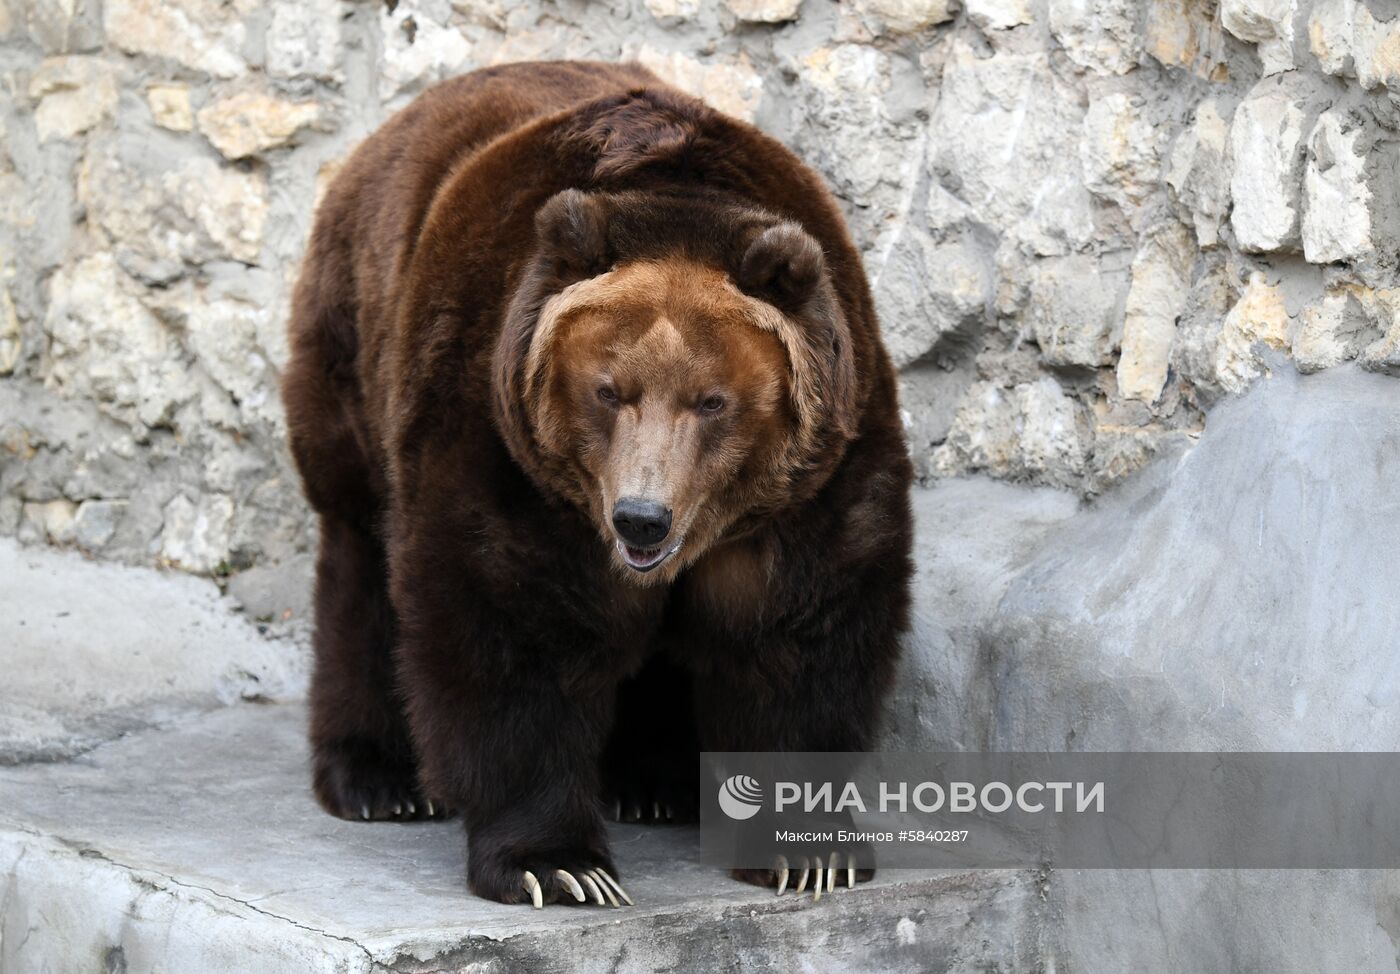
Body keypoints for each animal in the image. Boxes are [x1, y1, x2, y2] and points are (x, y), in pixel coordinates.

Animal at [284, 60, 918, 906]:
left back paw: (655, 783)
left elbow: (797, 640)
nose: (641, 518)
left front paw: (810, 853)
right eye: (609, 390)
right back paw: (378, 778)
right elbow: (514, 629)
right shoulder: (508, 447)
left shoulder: (812, 481)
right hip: (359, 350)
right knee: (362, 558)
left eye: (712, 401)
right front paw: (557, 863)